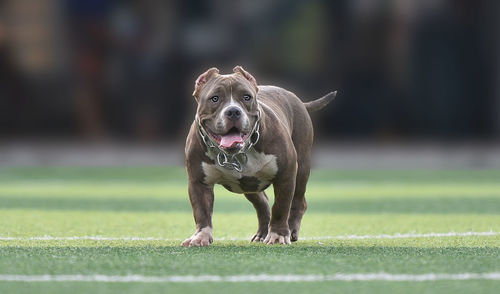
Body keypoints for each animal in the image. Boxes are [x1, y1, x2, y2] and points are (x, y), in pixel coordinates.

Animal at [182, 66, 334, 246]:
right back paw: (262, 233)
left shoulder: (286, 175)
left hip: (302, 168)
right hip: (250, 185)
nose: (233, 111)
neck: (237, 153)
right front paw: (201, 237)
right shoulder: (199, 182)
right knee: (262, 203)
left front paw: (278, 235)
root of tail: (297, 99)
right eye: (215, 98)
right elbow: (202, 212)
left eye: (246, 97)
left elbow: (281, 207)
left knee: (297, 202)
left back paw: (291, 230)